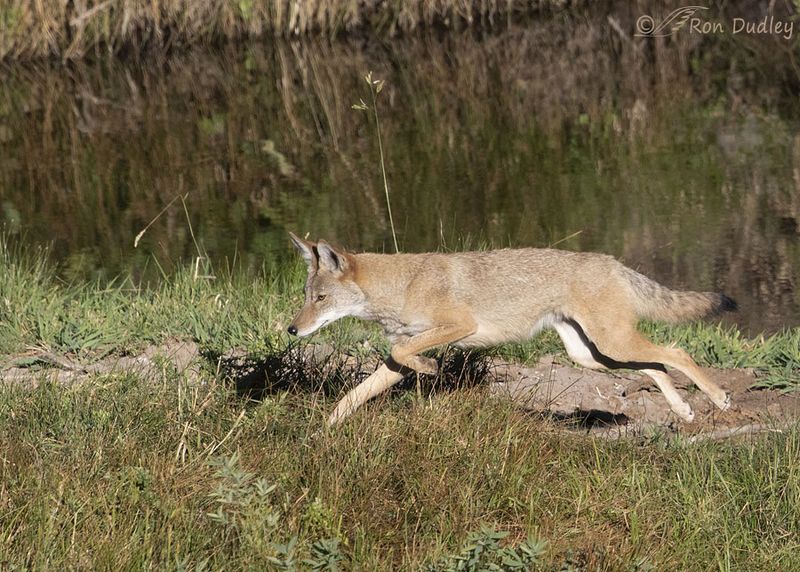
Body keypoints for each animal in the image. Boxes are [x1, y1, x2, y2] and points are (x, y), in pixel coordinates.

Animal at [287, 232, 735, 425]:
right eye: (307, 296)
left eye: (320, 299)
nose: (292, 330)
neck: (403, 285)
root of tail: (612, 262)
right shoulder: (397, 356)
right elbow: (352, 397)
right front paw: (322, 433)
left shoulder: (459, 326)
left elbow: (404, 354)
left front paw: (431, 369)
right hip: (594, 356)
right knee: (656, 366)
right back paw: (683, 410)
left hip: (612, 345)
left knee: (677, 353)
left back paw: (719, 398)